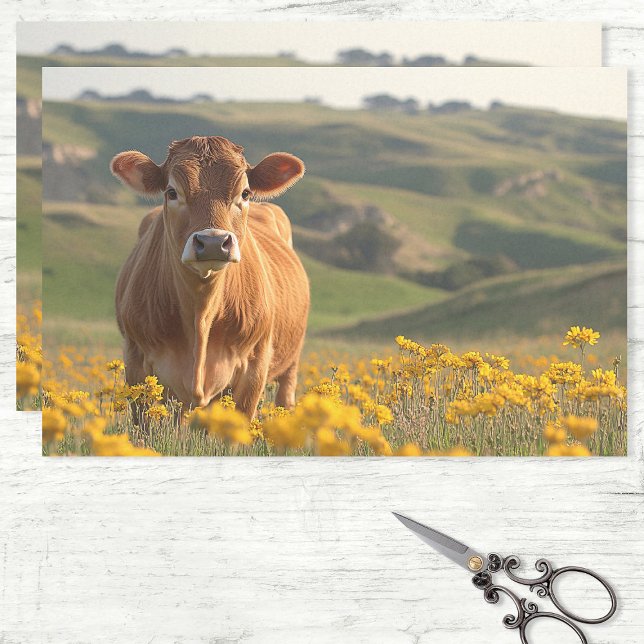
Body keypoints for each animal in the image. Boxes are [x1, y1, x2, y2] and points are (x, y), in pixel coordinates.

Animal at [110, 135, 309, 419]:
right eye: (172, 192)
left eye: (245, 193)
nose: (214, 242)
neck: (201, 313)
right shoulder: (136, 360)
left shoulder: (255, 366)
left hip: (291, 361)